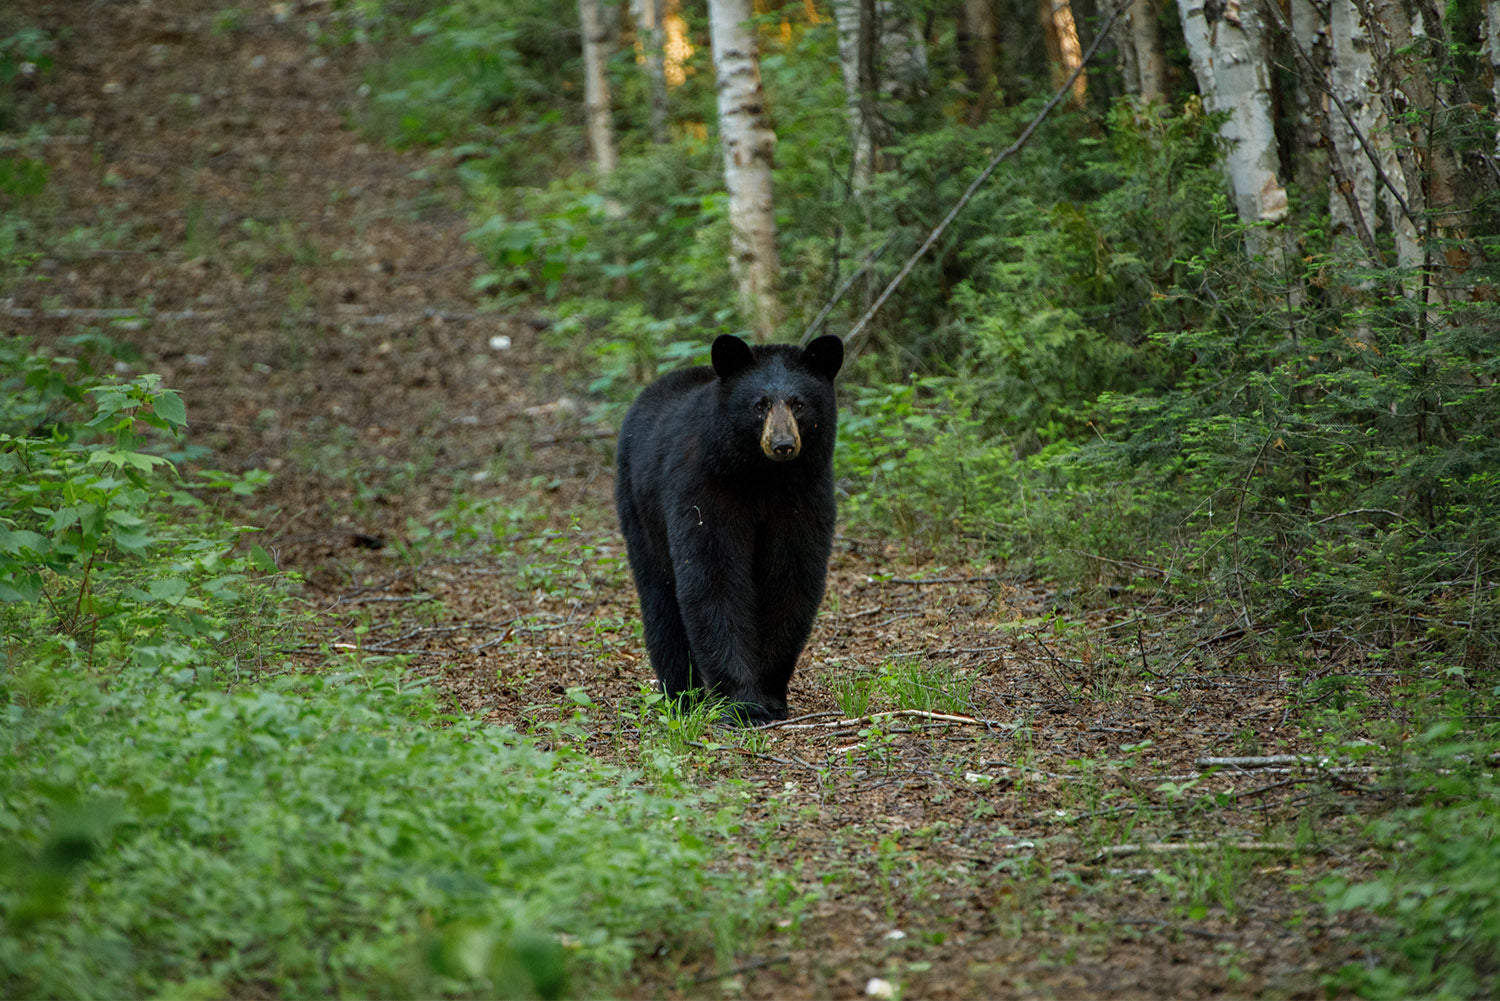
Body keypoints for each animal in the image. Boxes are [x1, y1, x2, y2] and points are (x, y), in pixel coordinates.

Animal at [612, 333, 846, 723]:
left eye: (799, 403)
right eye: (759, 405)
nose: (783, 445)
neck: (762, 479)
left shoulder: (803, 496)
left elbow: (790, 578)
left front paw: (771, 696)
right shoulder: (705, 488)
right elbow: (714, 579)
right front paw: (744, 704)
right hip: (639, 510)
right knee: (660, 599)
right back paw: (682, 695)